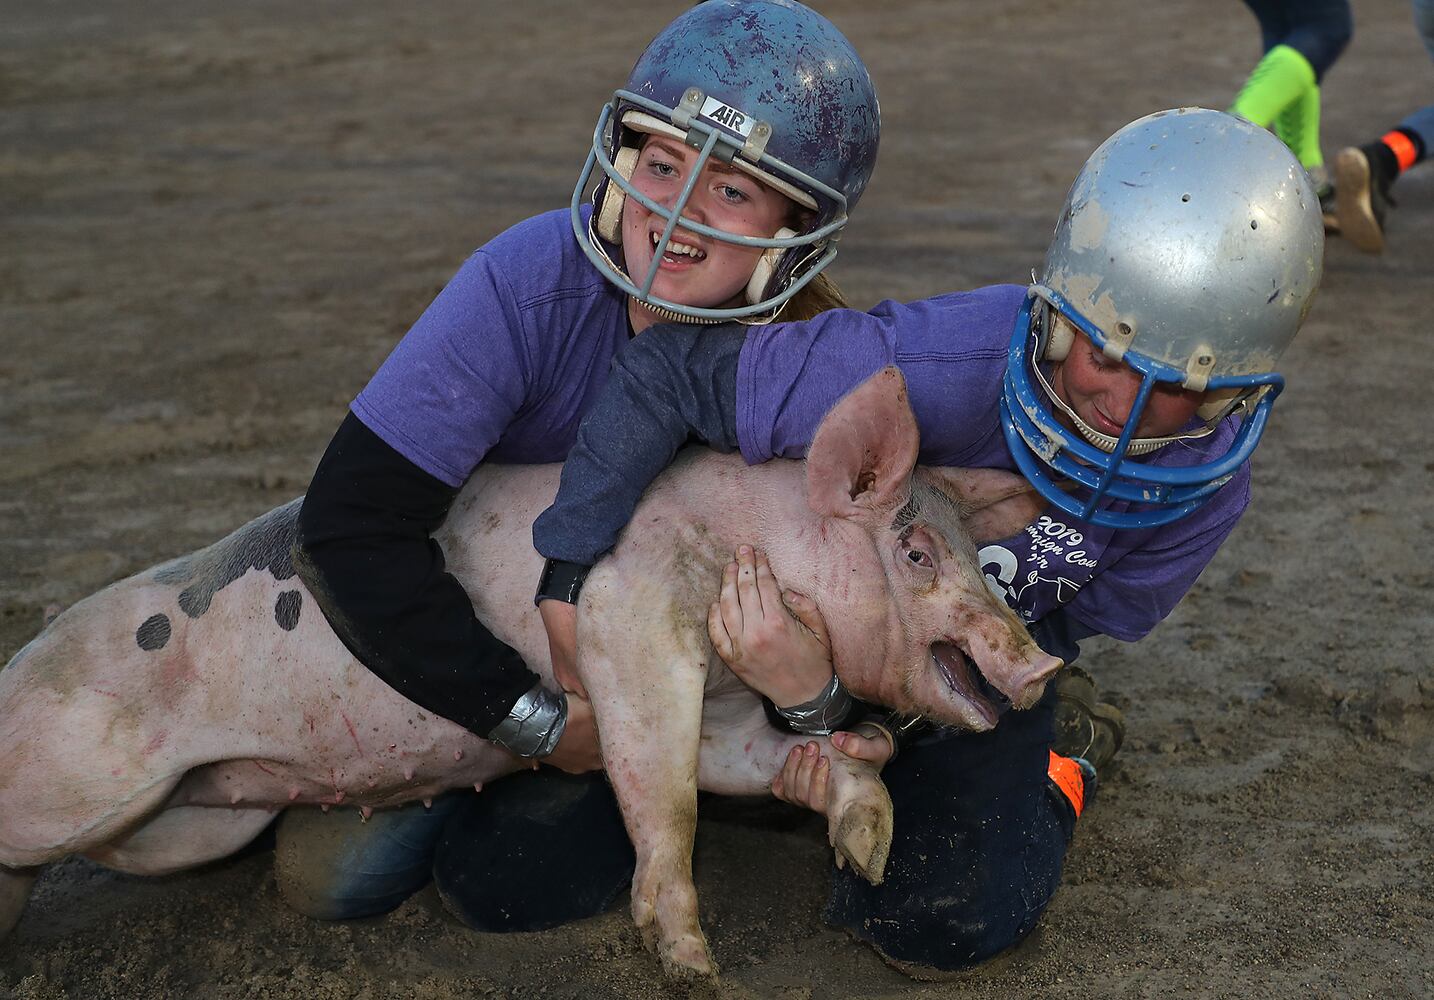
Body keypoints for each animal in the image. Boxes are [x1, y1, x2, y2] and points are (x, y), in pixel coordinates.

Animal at [0, 367, 1061, 975]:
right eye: (916, 551)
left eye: (978, 555)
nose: (1041, 659)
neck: (757, 542)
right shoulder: (629, 620)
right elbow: (666, 796)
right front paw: (694, 968)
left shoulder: (724, 712)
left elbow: (779, 763)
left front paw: (866, 848)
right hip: (80, 779)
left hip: (191, 824)